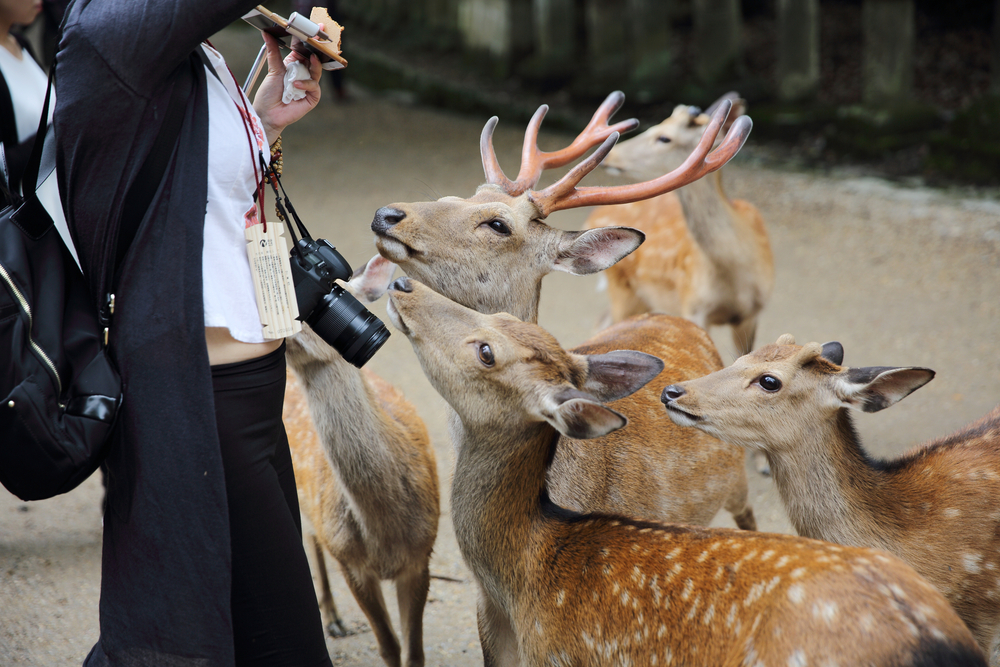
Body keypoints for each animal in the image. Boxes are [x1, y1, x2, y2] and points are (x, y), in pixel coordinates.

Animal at [584, 92, 776, 360]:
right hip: (622, 286)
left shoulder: (752, 313)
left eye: (664, 137)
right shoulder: (693, 305)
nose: (611, 155)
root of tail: (593, 216)